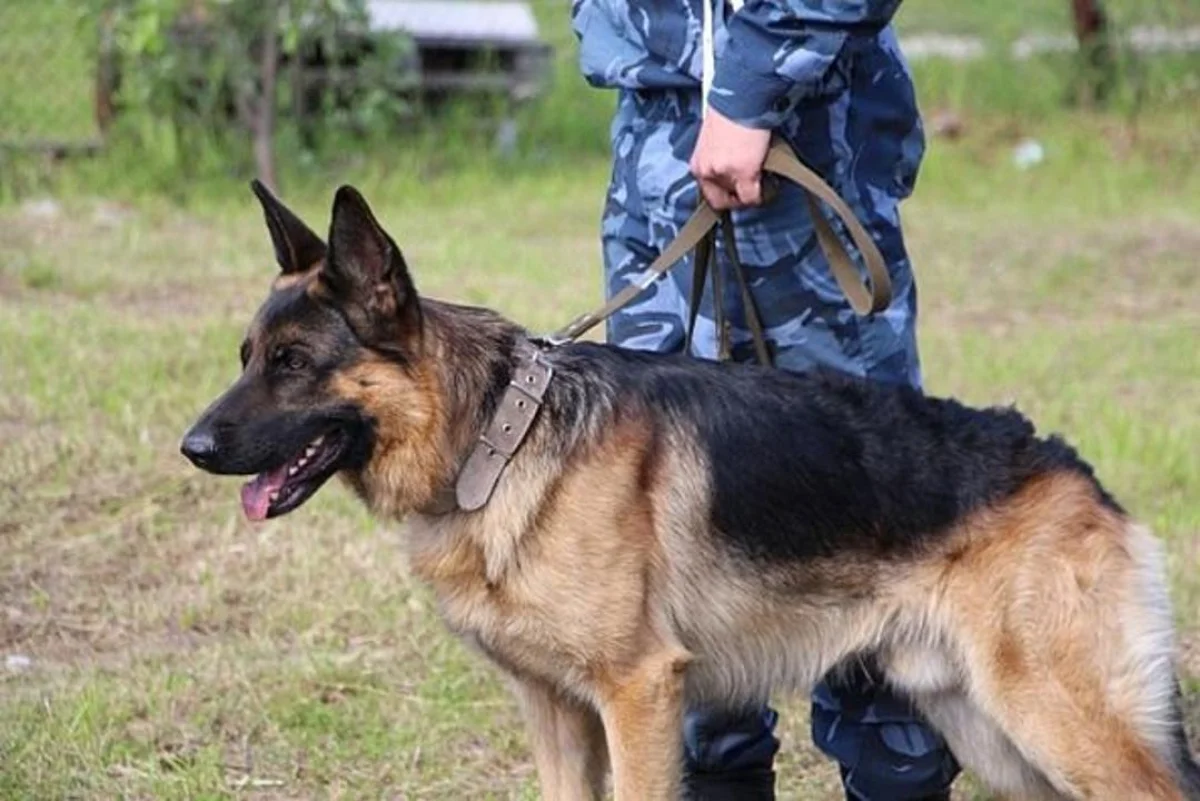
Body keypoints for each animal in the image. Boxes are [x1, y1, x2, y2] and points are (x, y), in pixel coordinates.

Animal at [180, 184, 1200, 796]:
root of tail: (1075, 470)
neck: (499, 438)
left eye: (294, 362)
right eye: (245, 357)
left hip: (1056, 722)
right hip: (994, 734)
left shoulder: (638, 697)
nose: (191, 446)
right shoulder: (557, 715)